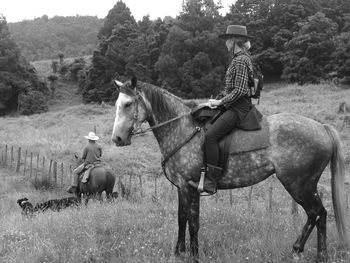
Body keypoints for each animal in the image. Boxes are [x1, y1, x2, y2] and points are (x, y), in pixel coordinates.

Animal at [111, 78, 348, 263]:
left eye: (128, 104)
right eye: (117, 104)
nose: (117, 139)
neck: (183, 128)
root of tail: (322, 128)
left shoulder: (189, 187)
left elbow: (193, 222)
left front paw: (193, 255)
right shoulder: (183, 187)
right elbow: (182, 219)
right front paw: (179, 253)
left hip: (299, 184)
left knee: (317, 213)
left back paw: (301, 251)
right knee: (319, 215)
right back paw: (318, 255)